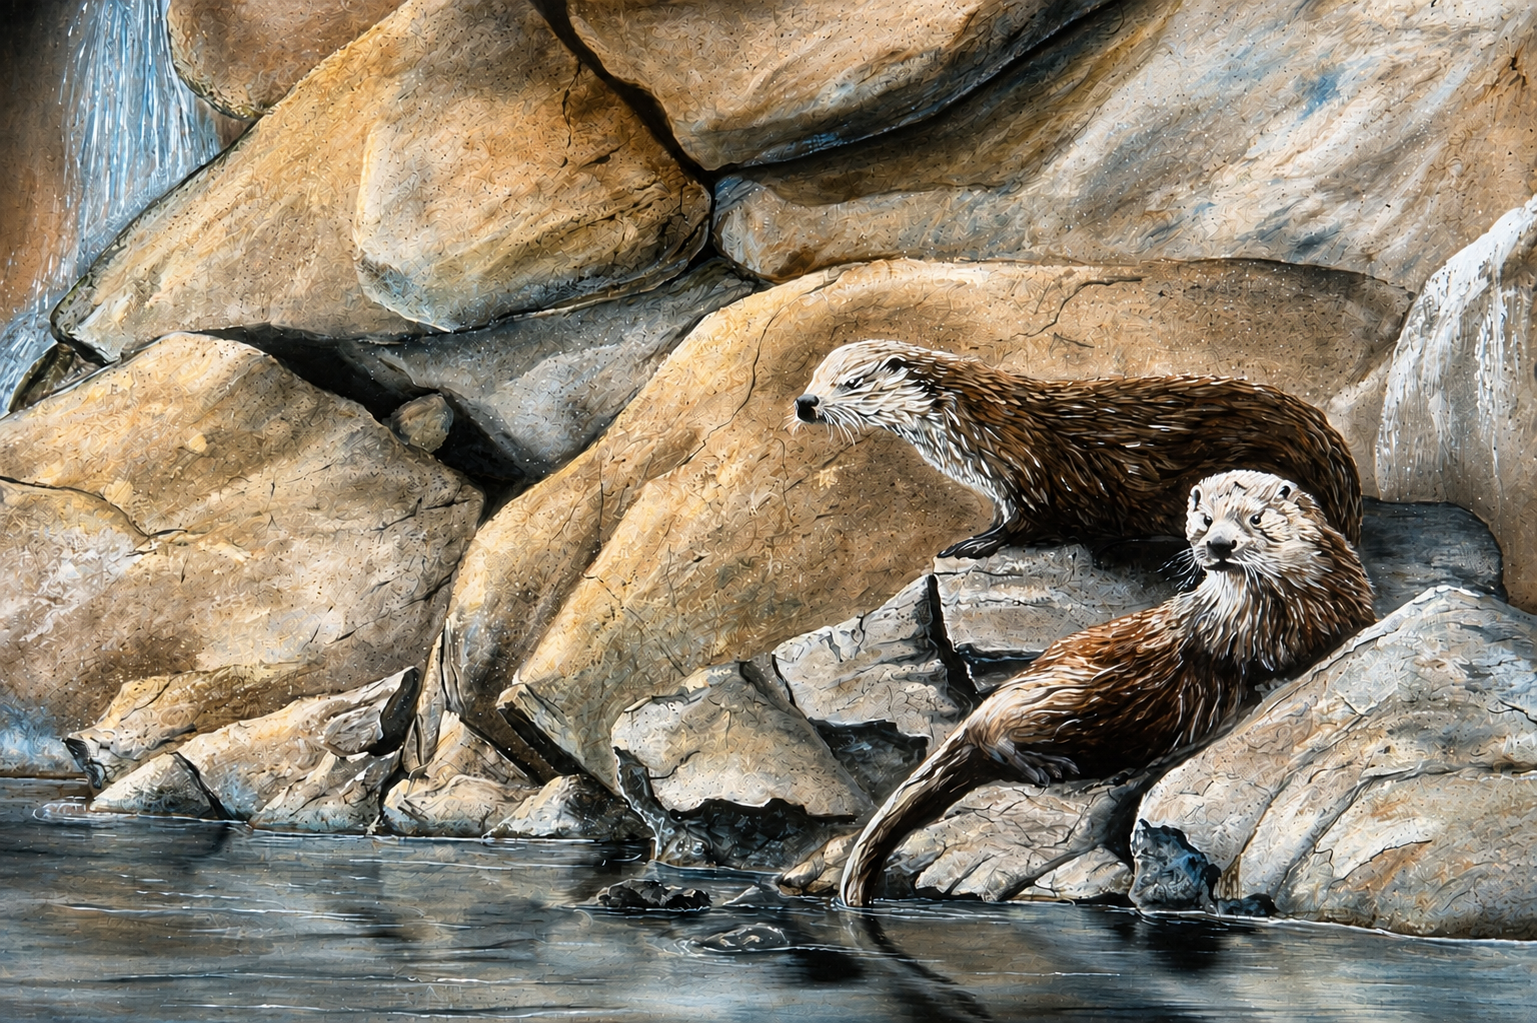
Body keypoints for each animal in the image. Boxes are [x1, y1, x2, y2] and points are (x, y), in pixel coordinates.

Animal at [795, 340, 1362, 558]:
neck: (981, 425)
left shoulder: (1034, 475)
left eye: (850, 382)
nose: (804, 403)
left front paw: (974, 544)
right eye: (814, 376)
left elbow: (1029, 523)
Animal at [838, 470, 1375, 907]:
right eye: (1204, 520)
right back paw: (1046, 765)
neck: (1290, 609)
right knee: (988, 732)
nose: (1220, 545)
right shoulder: (1230, 638)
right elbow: (1245, 666)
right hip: (1052, 692)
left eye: (1256, 518)